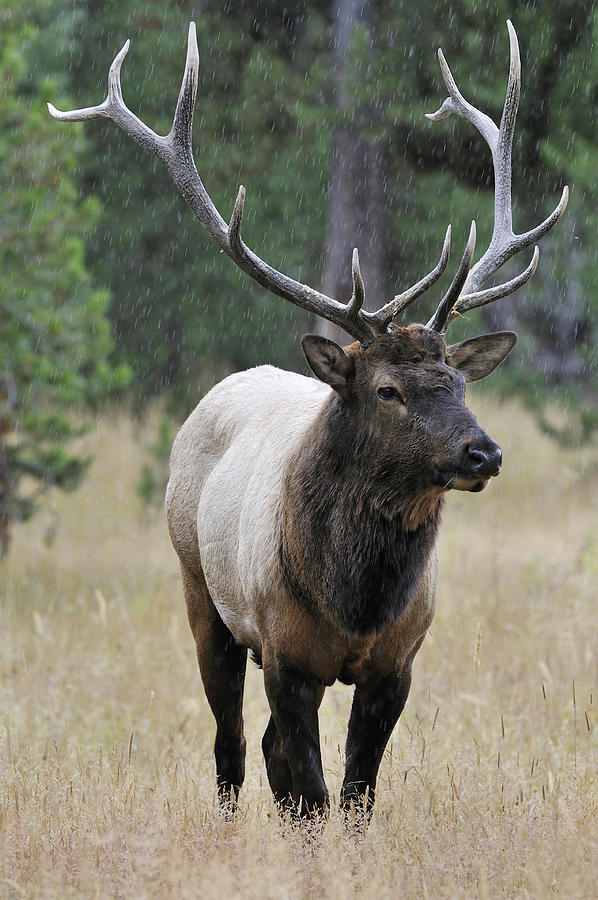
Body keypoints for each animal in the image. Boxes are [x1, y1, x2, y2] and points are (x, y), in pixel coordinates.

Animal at [49, 21, 568, 824]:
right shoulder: (287, 654)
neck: (356, 601)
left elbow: (355, 796)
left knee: (265, 752)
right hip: (204, 597)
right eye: (387, 390)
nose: (484, 453)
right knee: (231, 746)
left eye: (456, 380)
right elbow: (316, 792)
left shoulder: (396, 663)